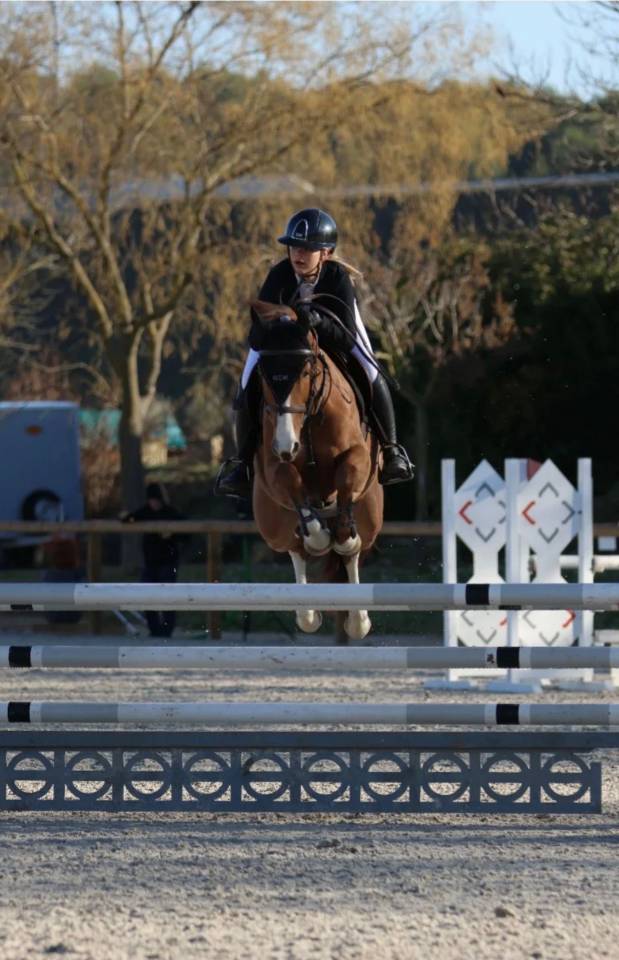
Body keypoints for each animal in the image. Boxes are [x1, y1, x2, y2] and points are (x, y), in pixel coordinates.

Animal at [249, 300, 384, 641]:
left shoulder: (356, 456)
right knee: (295, 546)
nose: (287, 444)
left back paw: (358, 621)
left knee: (355, 547)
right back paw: (308, 613)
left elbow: (348, 536)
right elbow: (306, 519)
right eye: (263, 374)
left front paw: (340, 539)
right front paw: (320, 538)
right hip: (273, 521)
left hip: (370, 514)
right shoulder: (275, 466)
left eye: (306, 371)